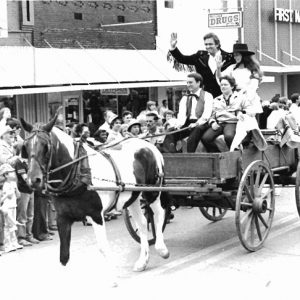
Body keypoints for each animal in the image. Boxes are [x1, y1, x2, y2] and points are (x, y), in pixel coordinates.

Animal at [19, 113, 170, 278]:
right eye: (25, 146)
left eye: (46, 146)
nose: (33, 179)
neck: (78, 171)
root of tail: (149, 145)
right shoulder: (63, 217)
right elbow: (64, 255)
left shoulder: (96, 215)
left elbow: (103, 248)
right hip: (132, 197)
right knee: (142, 223)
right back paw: (142, 261)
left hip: (152, 192)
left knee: (158, 214)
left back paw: (162, 249)